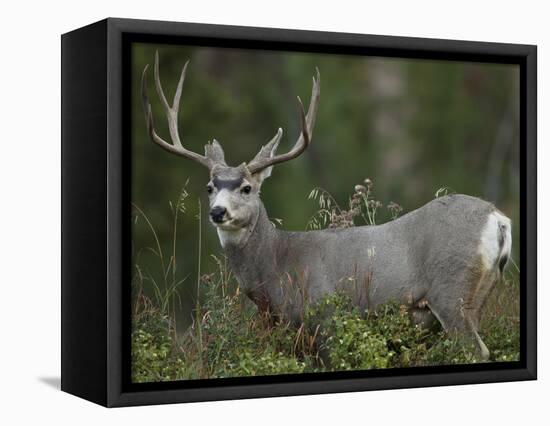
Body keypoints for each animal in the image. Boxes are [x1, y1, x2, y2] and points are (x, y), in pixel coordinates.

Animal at [141, 52, 512, 360]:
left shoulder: (325, 318)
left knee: (478, 349)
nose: (218, 212)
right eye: (209, 188)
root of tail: (498, 219)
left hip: (451, 291)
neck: (277, 265)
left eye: (246, 188)